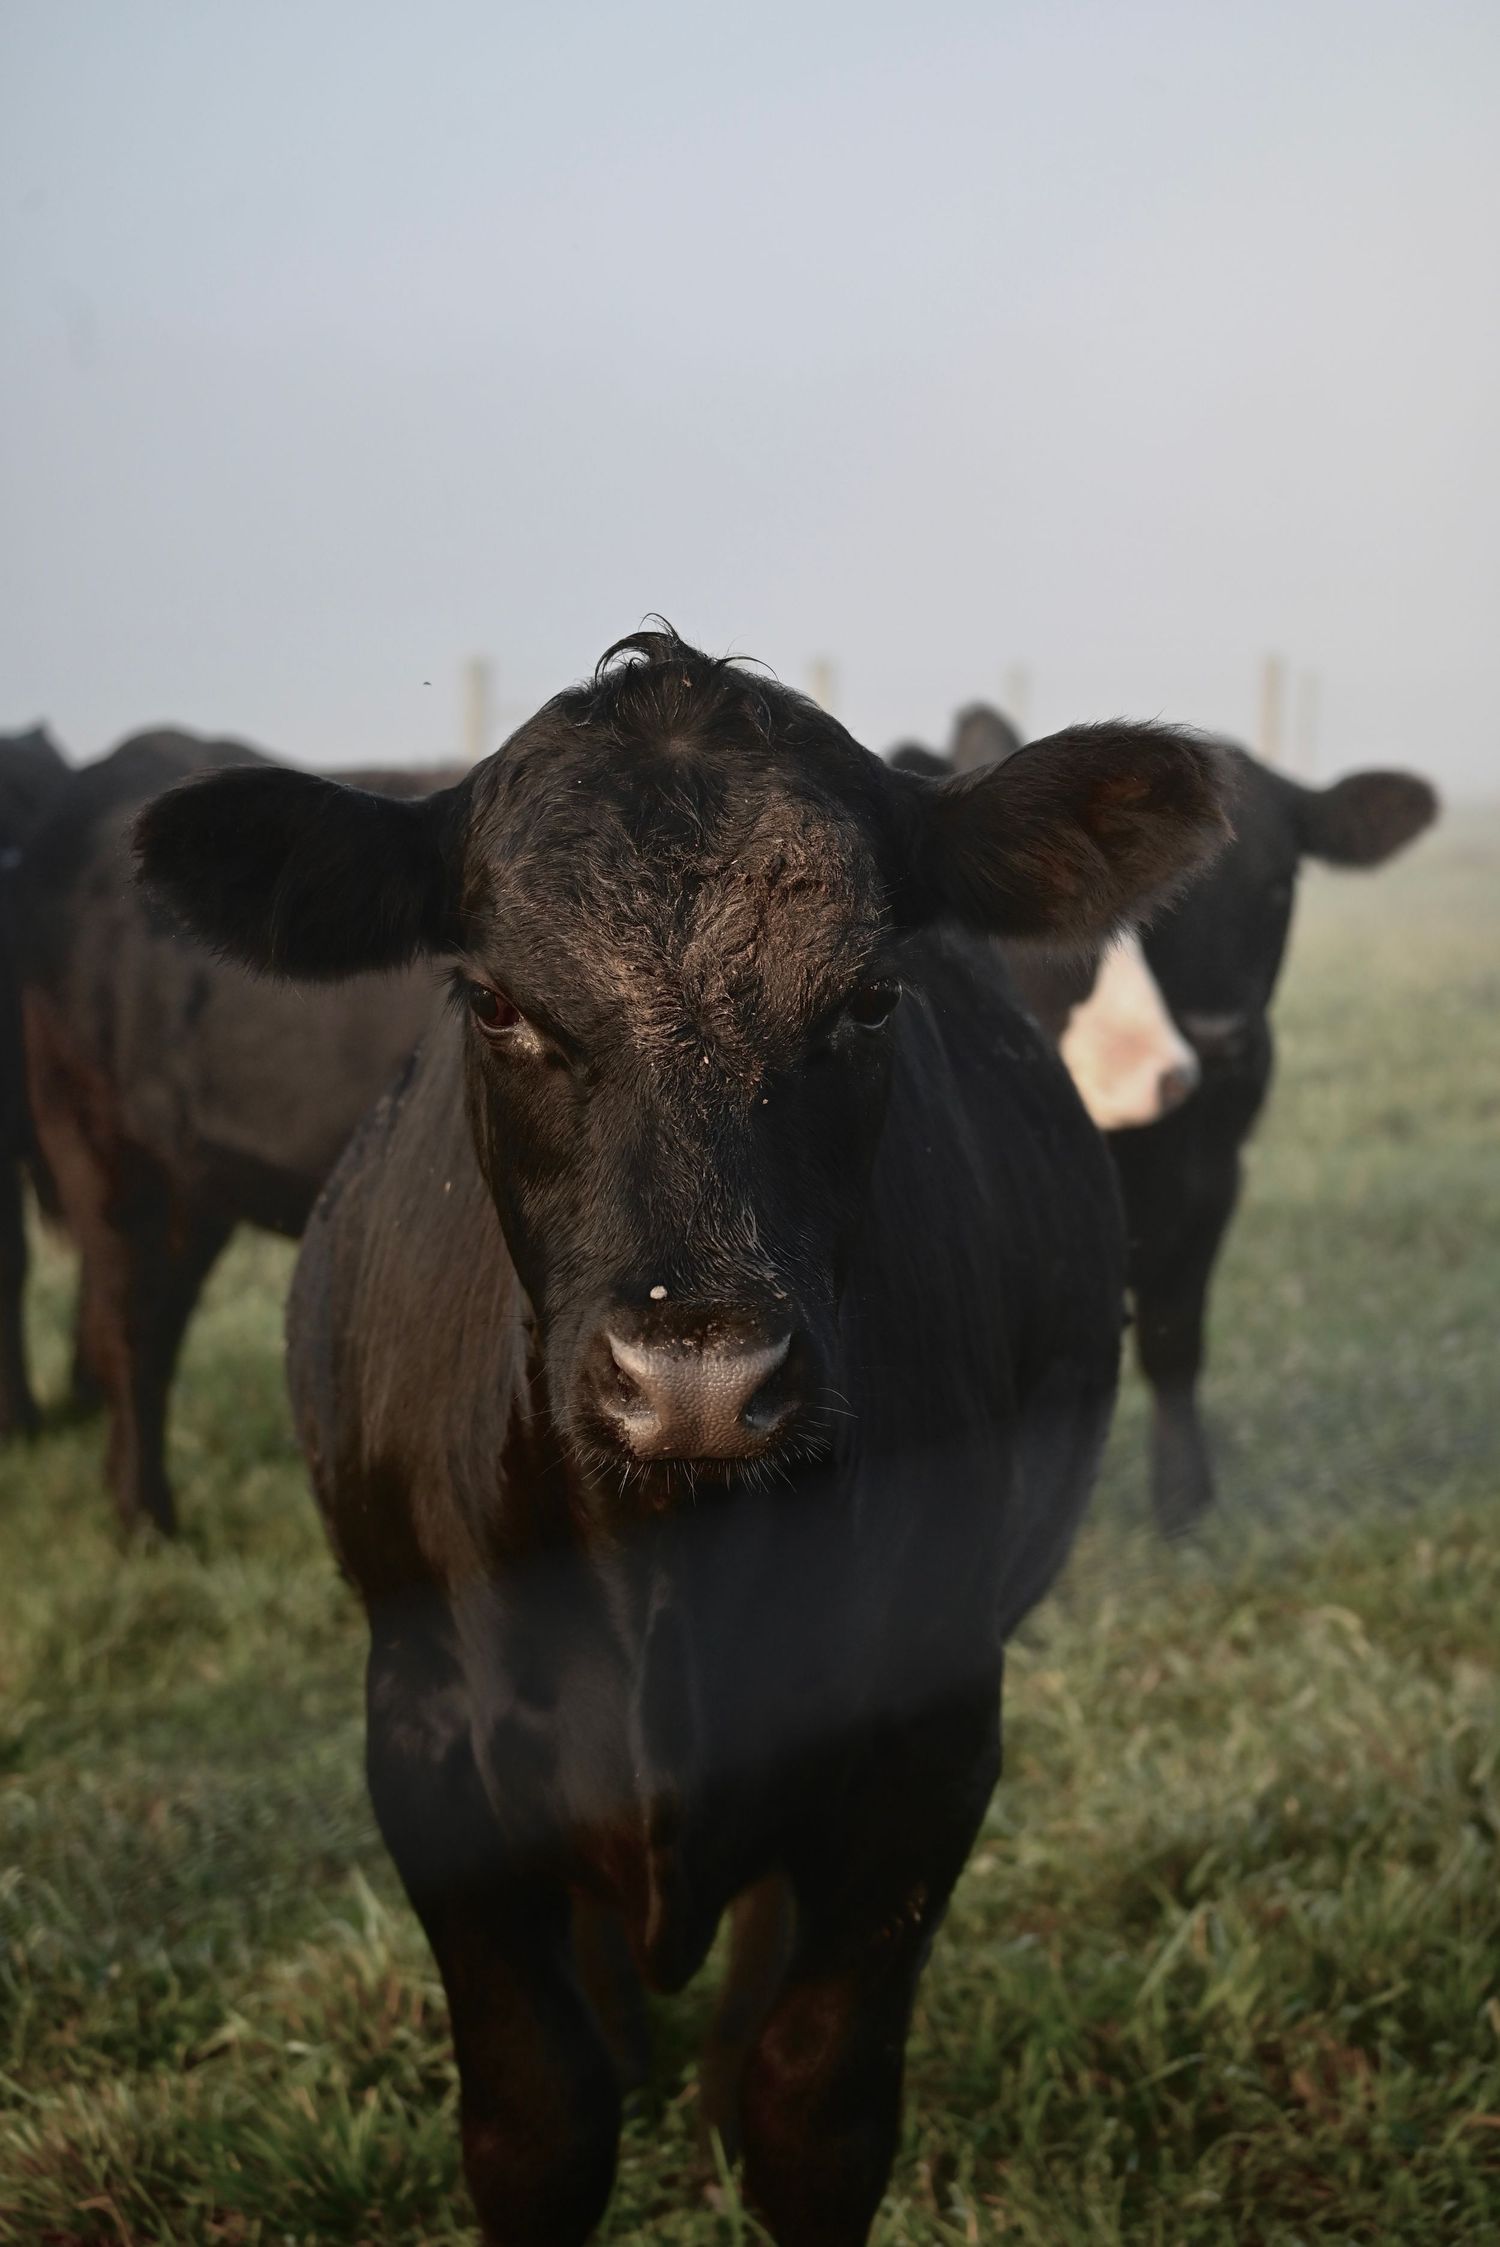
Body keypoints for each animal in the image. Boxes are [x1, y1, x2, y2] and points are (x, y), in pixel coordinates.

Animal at [137, 631, 1227, 2246]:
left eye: (872, 997)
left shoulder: (927, 1739)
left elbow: (814, 2104)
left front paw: (741, 2107)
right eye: (496, 1001)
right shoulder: (427, 1744)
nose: (698, 1376)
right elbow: (538, 2116)